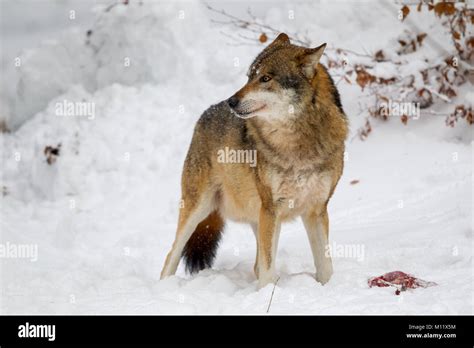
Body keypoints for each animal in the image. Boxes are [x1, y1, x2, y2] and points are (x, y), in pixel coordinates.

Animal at [161, 33, 350, 288]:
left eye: (266, 78)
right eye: (249, 76)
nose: (231, 101)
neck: (299, 144)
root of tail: (206, 114)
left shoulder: (317, 209)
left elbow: (325, 267)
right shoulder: (272, 208)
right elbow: (268, 269)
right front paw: (267, 292)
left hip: (257, 217)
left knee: (256, 265)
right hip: (199, 208)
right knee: (171, 254)